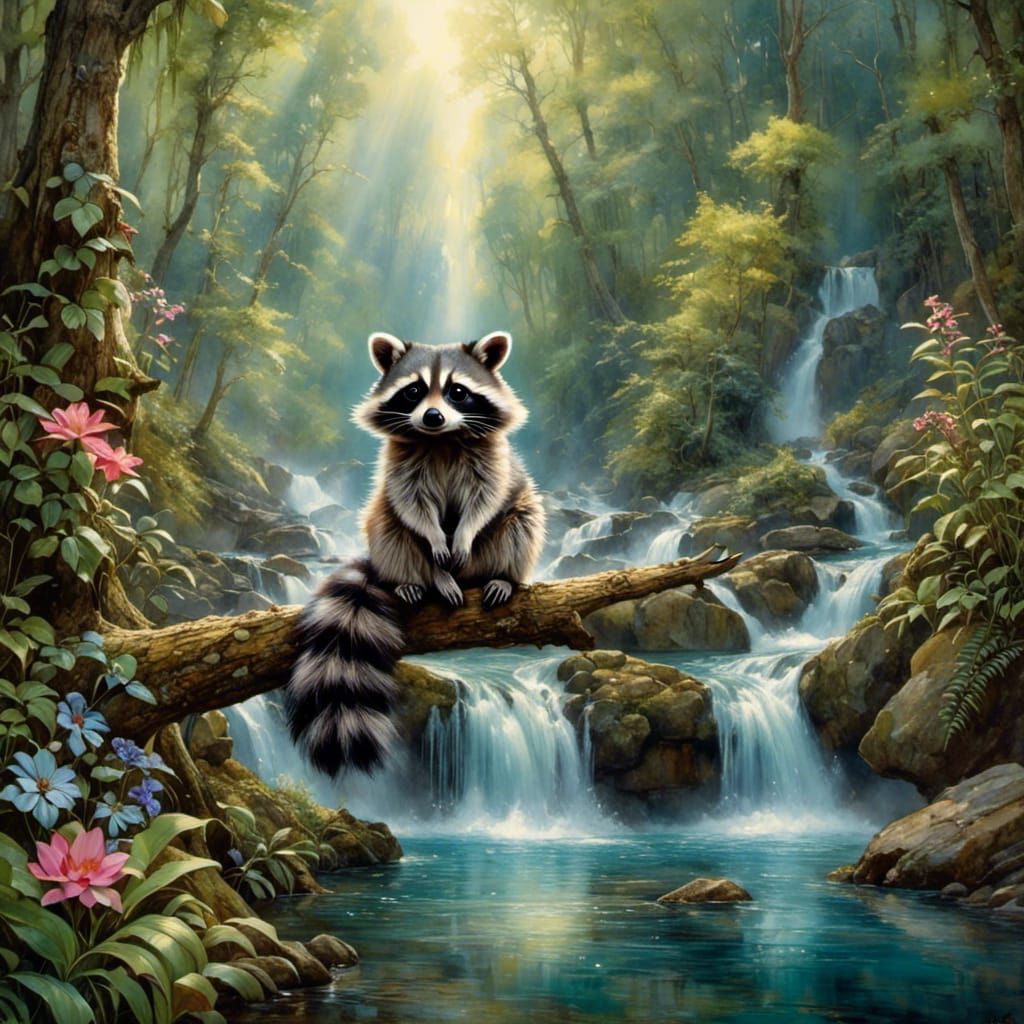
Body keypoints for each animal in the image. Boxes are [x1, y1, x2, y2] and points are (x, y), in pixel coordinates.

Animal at [285, 331, 546, 776]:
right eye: (414, 391)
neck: (440, 440)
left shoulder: (492, 461)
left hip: (512, 527)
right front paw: (435, 545)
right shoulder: (401, 465)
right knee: (388, 523)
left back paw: (502, 577)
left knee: (523, 518)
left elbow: (487, 498)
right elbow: (412, 507)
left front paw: (466, 533)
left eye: (458, 392)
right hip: (384, 530)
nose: (433, 417)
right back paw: (421, 580)